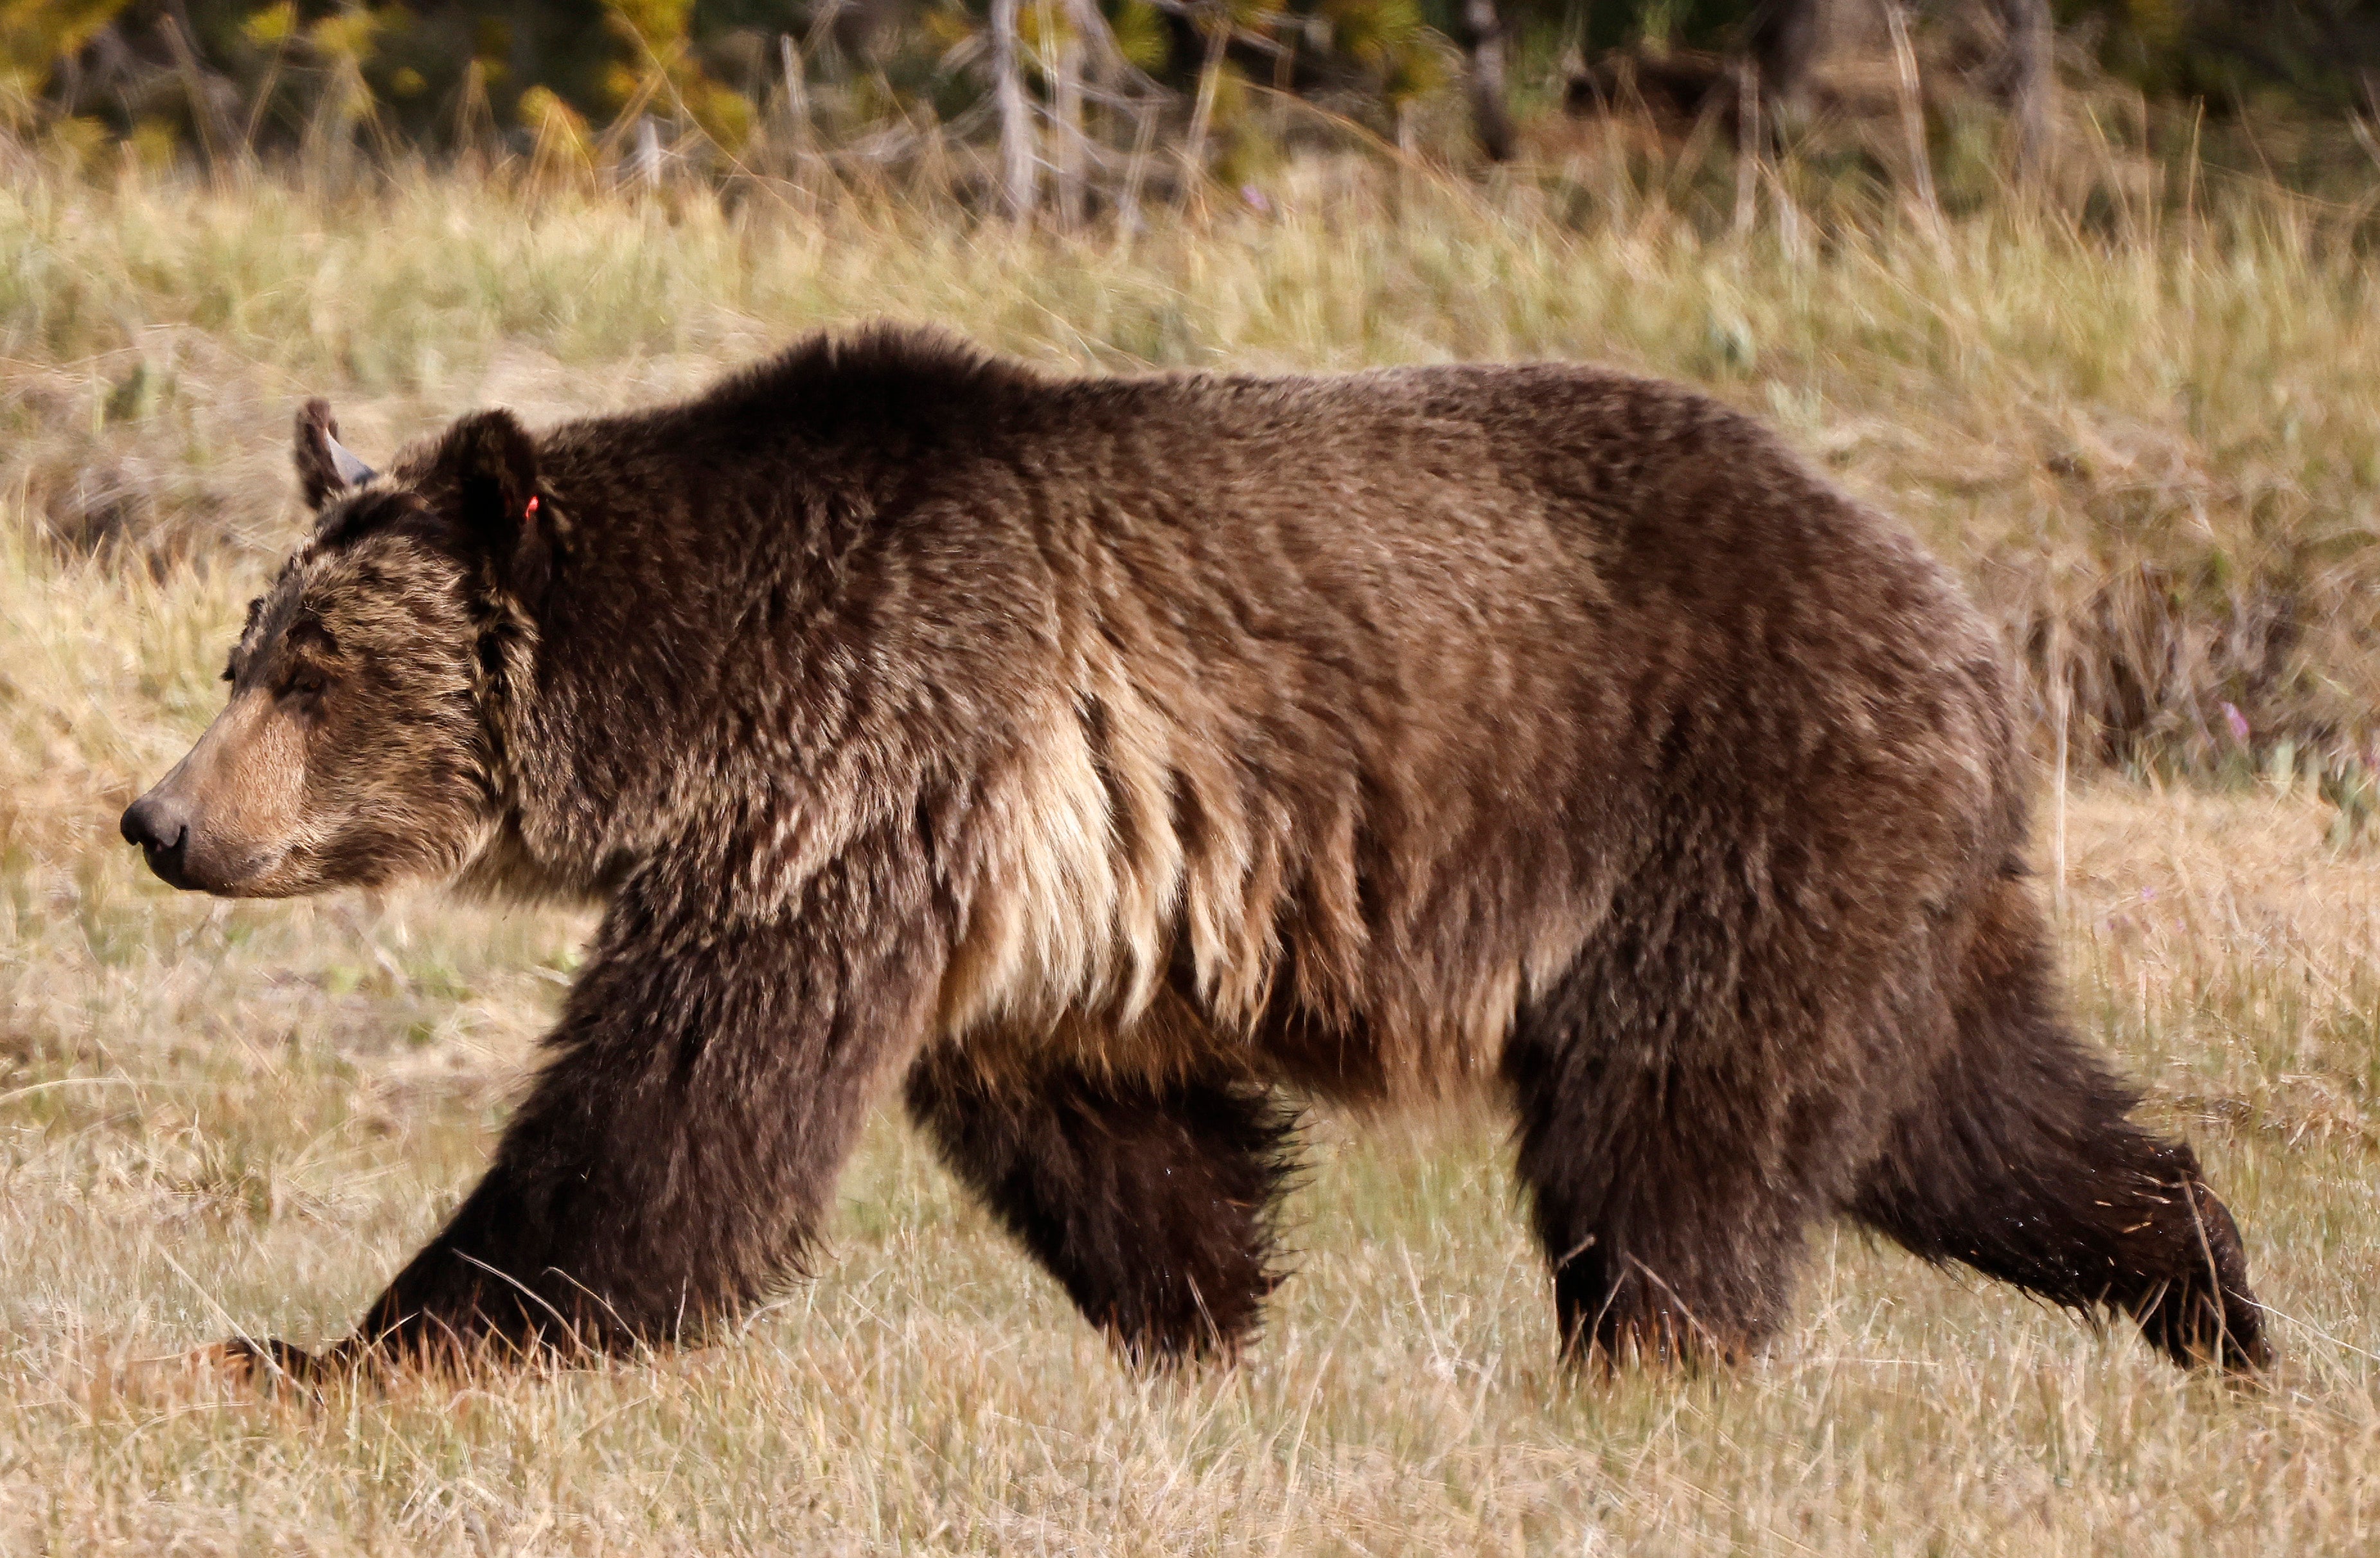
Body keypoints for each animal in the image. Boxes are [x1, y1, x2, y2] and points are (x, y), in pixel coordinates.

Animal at [121, 325, 2267, 1379]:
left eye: (310, 665)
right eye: (246, 646)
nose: (162, 820)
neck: (691, 694)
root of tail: (1961, 613)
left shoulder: (866, 772)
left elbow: (677, 1111)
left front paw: (338, 1347)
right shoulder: (1017, 886)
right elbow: (1109, 1131)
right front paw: (1201, 1328)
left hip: (1722, 807)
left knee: (1684, 1123)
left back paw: (1647, 1360)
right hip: (1894, 877)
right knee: (1972, 1117)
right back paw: (2214, 1299)